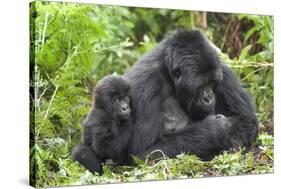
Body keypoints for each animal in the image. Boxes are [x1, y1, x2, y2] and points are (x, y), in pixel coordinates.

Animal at [123, 29, 258, 161]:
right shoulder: (147, 85)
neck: (169, 75)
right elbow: (145, 153)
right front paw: (215, 129)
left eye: (211, 83)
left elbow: (247, 121)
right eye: (201, 85)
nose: (208, 97)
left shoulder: (222, 68)